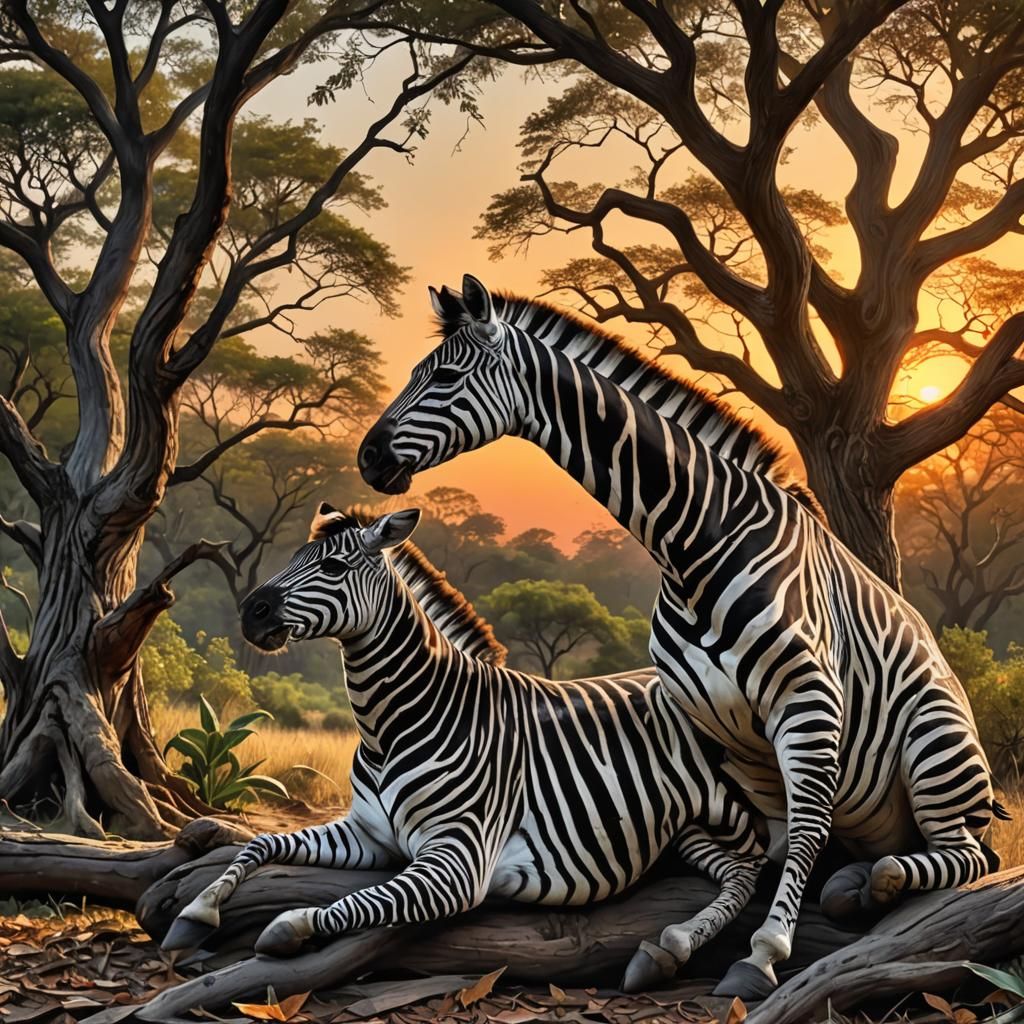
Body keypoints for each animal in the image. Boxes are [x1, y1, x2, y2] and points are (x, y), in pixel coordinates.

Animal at [163, 503, 767, 983]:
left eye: (332, 566)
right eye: (293, 557)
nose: (250, 613)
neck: (391, 727)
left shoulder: (461, 860)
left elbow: (361, 900)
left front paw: (287, 926)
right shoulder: (368, 836)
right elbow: (261, 844)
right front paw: (196, 912)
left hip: (732, 812)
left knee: (750, 872)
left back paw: (674, 949)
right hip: (683, 829)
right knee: (732, 872)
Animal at [357, 274, 1008, 1000]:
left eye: (444, 377)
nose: (368, 456)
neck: (691, 543)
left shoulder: (808, 702)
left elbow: (803, 828)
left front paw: (763, 954)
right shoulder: (717, 729)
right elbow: (770, 843)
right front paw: (689, 943)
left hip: (935, 740)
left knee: (968, 854)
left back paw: (879, 879)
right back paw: (856, 878)